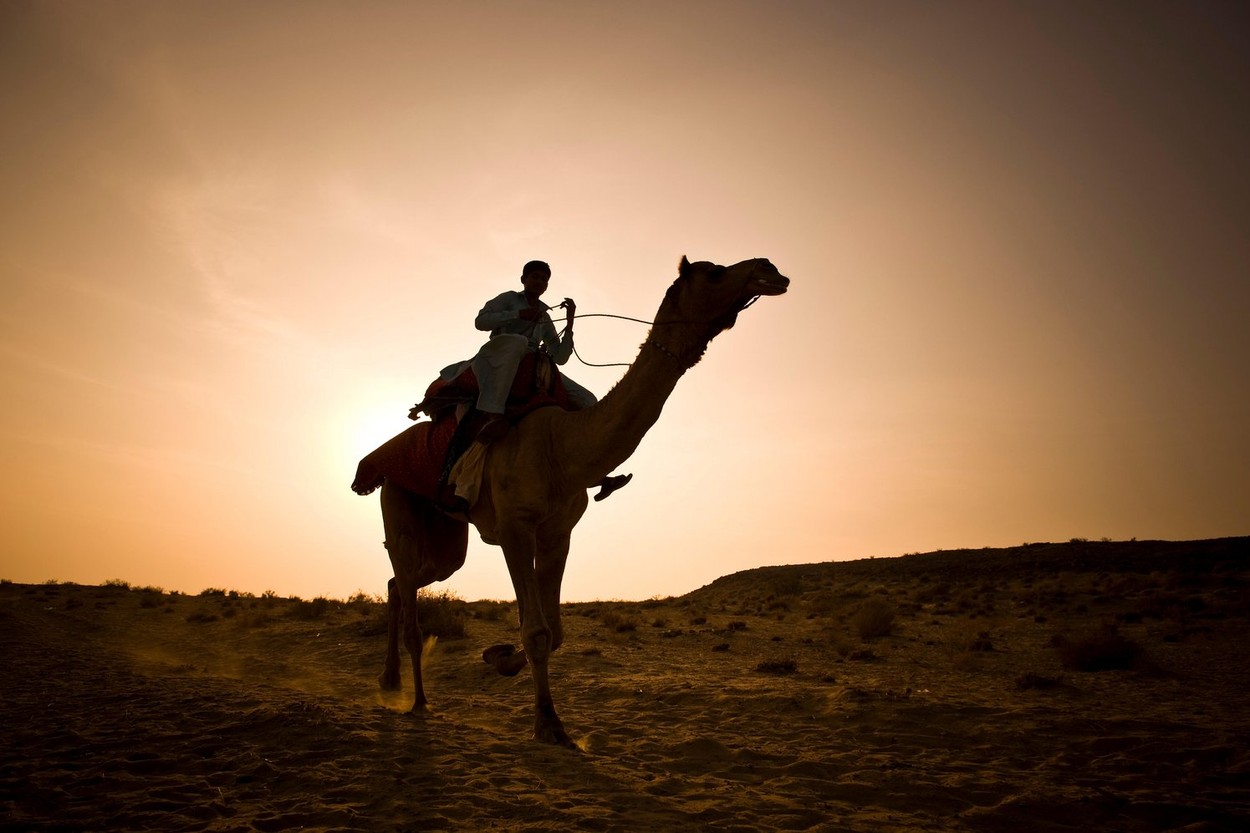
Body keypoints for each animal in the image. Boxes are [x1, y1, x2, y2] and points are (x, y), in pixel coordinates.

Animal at [372, 255, 789, 746]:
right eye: (715, 273)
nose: (770, 269)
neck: (561, 448)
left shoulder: (558, 531)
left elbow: (554, 632)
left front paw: (499, 658)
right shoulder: (515, 527)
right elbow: (536, 630)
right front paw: (549, 724)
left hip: (448, 534)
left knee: (405, 581)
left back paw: (390, 681)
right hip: (397, 497)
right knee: (408, 593)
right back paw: (416, 702)